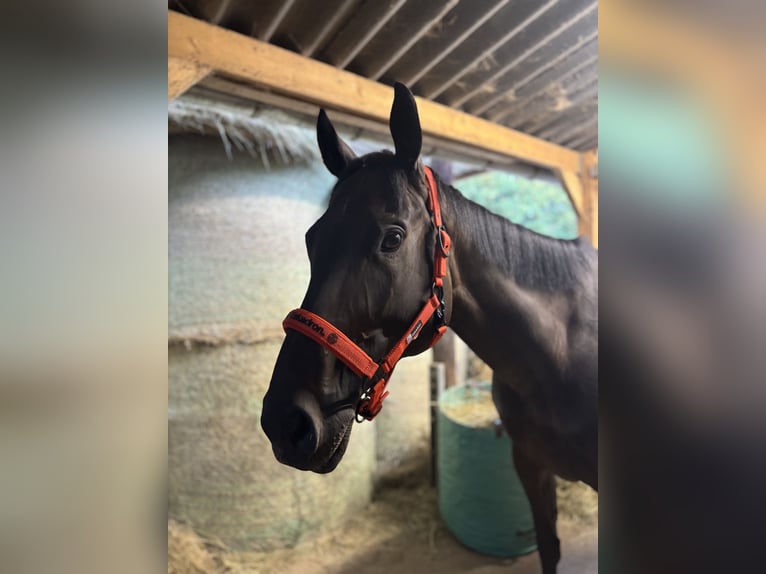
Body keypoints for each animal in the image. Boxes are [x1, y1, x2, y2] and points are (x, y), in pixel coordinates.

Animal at [261, 82, 598, 574]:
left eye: (393, 238)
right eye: (310, 239)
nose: (286, 423)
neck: (558, 350)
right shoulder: (531, 465)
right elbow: (549, 548)